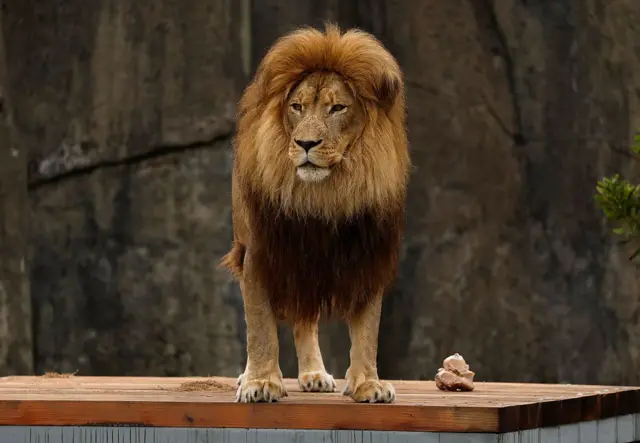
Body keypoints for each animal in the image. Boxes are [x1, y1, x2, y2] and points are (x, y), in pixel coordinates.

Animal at [220, 23, 410, 404]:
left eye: (337, 107)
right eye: (297, 106)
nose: (306, 144)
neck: (325, 196)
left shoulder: (369, 255)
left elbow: (368, 330)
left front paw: (368, 383)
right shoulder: (261, 253)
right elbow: (259, 326)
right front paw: (260, 382)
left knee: (305, 320)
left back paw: (314, 374)